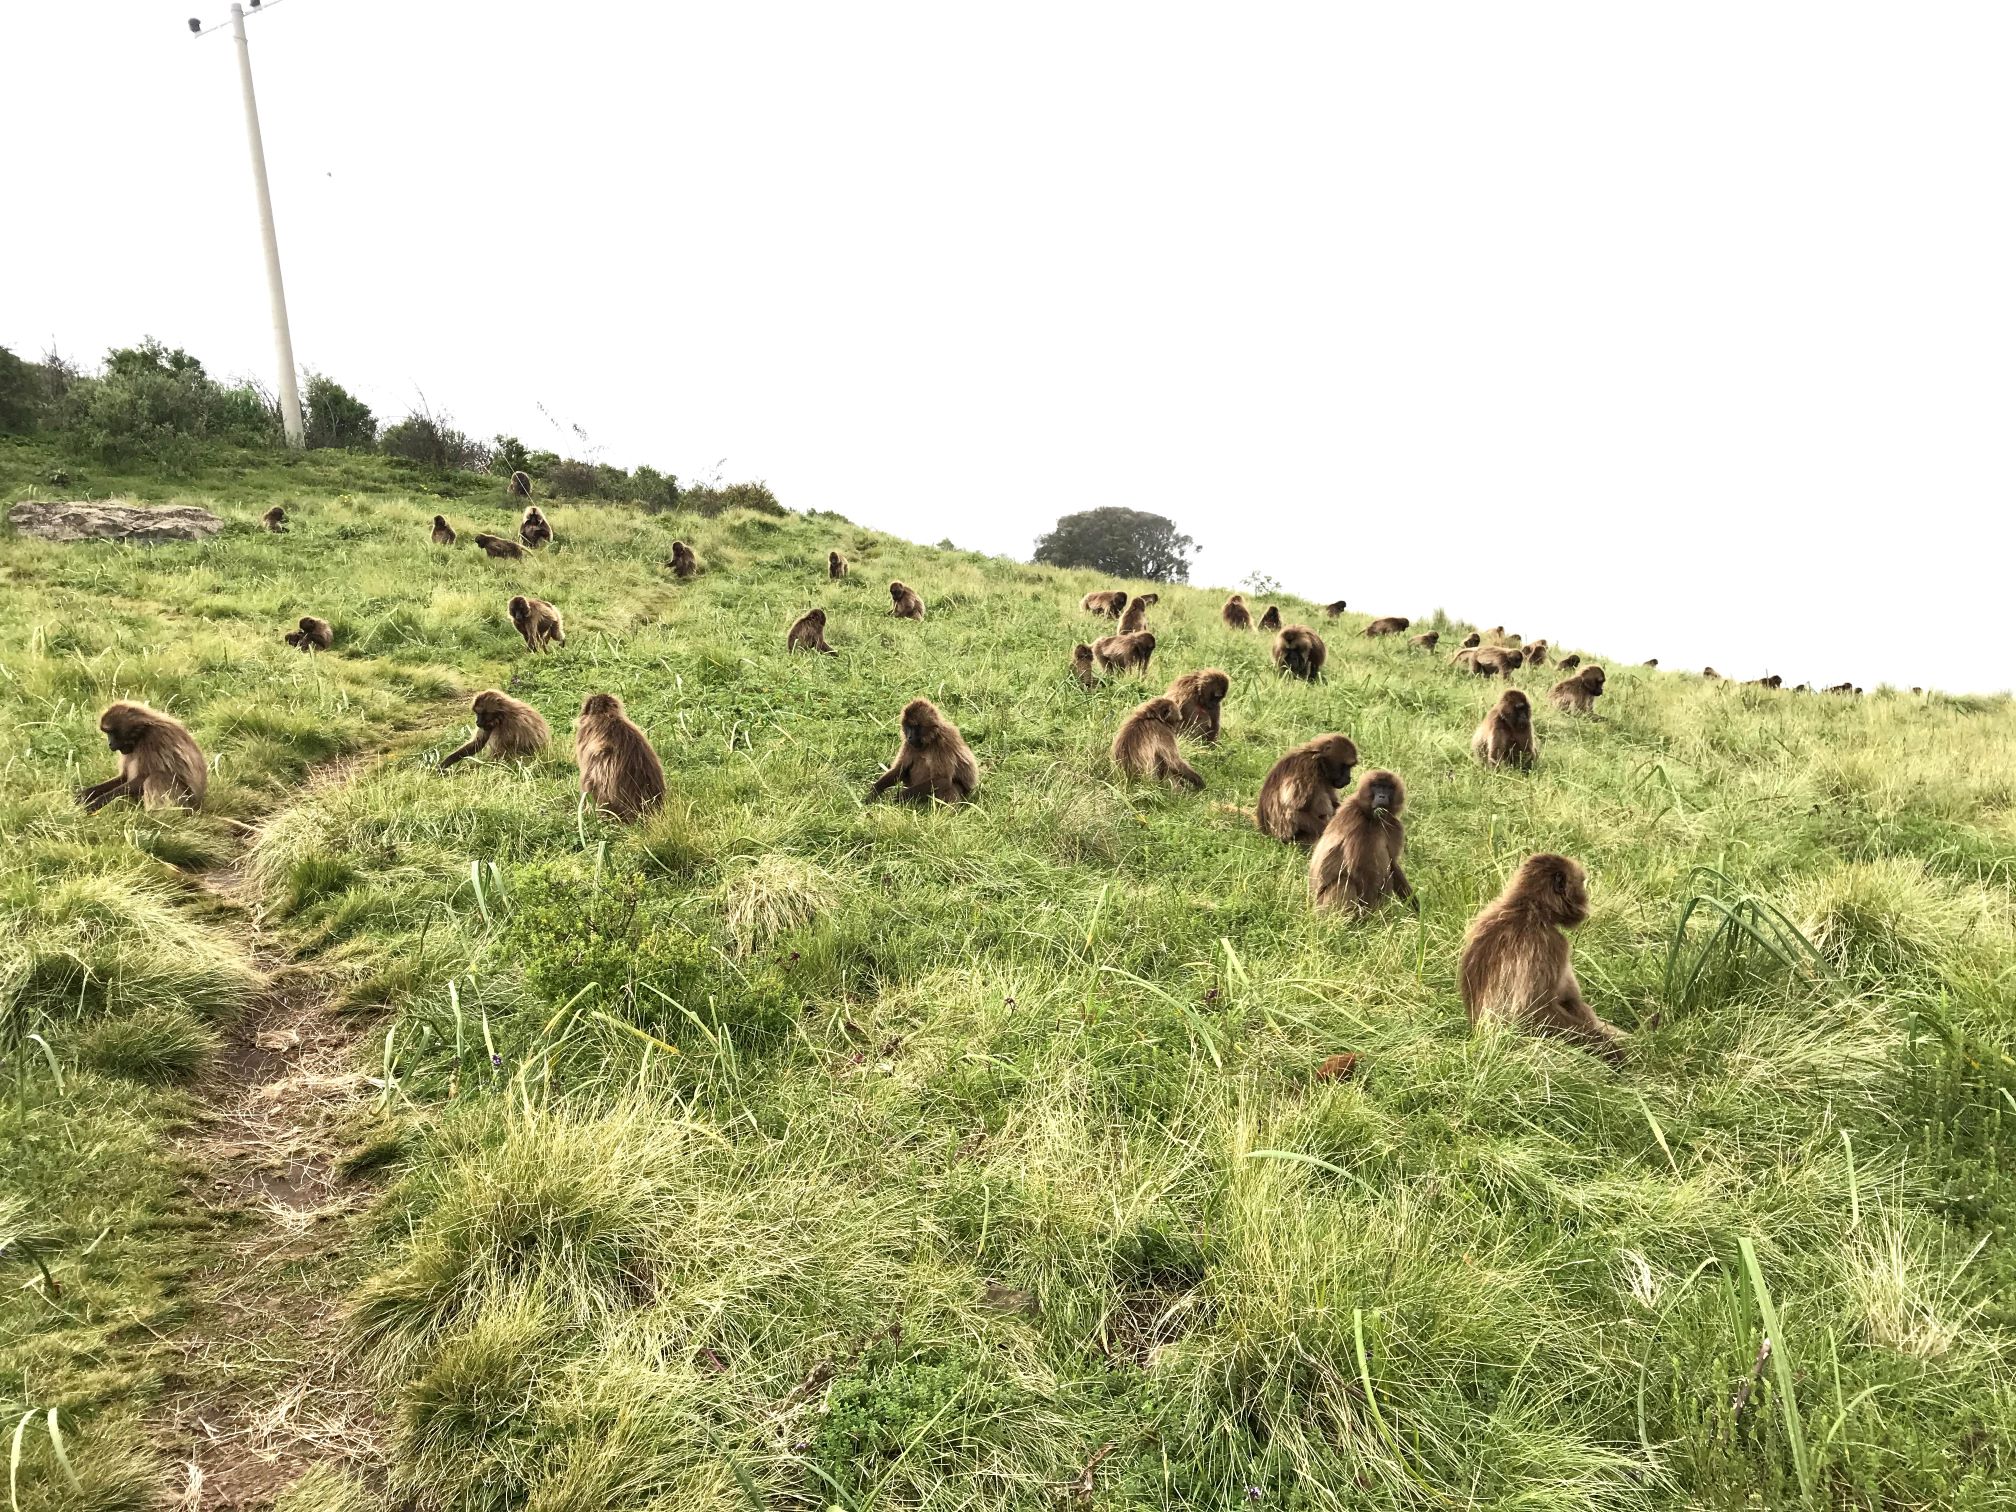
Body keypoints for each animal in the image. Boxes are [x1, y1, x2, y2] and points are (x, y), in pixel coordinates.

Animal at [76, 702, 207, 812]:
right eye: (107, 733)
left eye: (111, 732)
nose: (110, 744)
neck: (141, 733)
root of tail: (200, 804)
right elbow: (124, 777)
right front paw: (84, 794)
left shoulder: (154, 738)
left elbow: (142, 777)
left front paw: (97, 802)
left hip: (187, 803)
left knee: (156, 777)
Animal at [1308, 769, 1411, 912]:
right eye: (1377, 786)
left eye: (1388, 788)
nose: (1382, 796)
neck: (1373, 819)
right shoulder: (1356, 820)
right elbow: (1358, 869)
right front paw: (1368, 916)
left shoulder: (1393, 825)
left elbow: (1392, 864)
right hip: (1322, 905)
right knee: (1345, 882)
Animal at [1460, 853, 1623, 1064]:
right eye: (1582, 884)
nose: (1586, 902)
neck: (1530, 907)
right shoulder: (1549, 943)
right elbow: (1530, 1012)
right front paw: (1611, 1051)